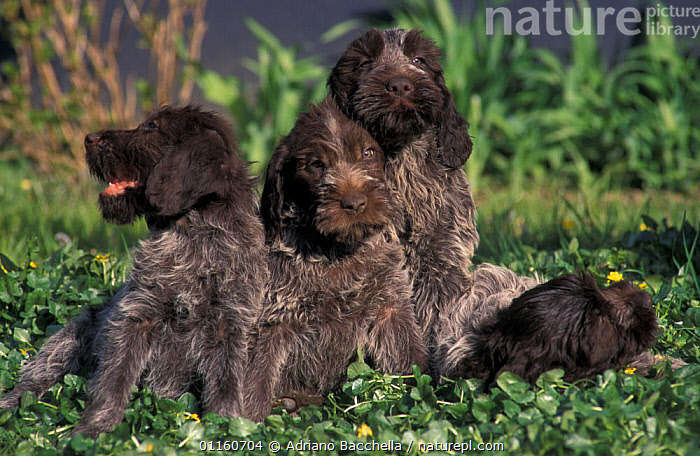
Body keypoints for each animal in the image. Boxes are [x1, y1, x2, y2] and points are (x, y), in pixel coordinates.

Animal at [0, 105, 268, 436]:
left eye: (151, 127)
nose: (89, 138)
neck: (195, 235)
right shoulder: (135, 316)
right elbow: (113, 380)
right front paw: (95, 431)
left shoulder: (229, 327)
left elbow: (226, 387)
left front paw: (225, 427)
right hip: (70, 338)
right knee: (33, 380)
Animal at [243, 100, 430, 424]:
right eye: (316, 165)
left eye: (368, 153)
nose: (355, 203)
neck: (336, 251)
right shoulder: (273, 320)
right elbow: (256, 380)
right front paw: (244, 422)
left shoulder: (390, 308)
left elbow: (410, 360)